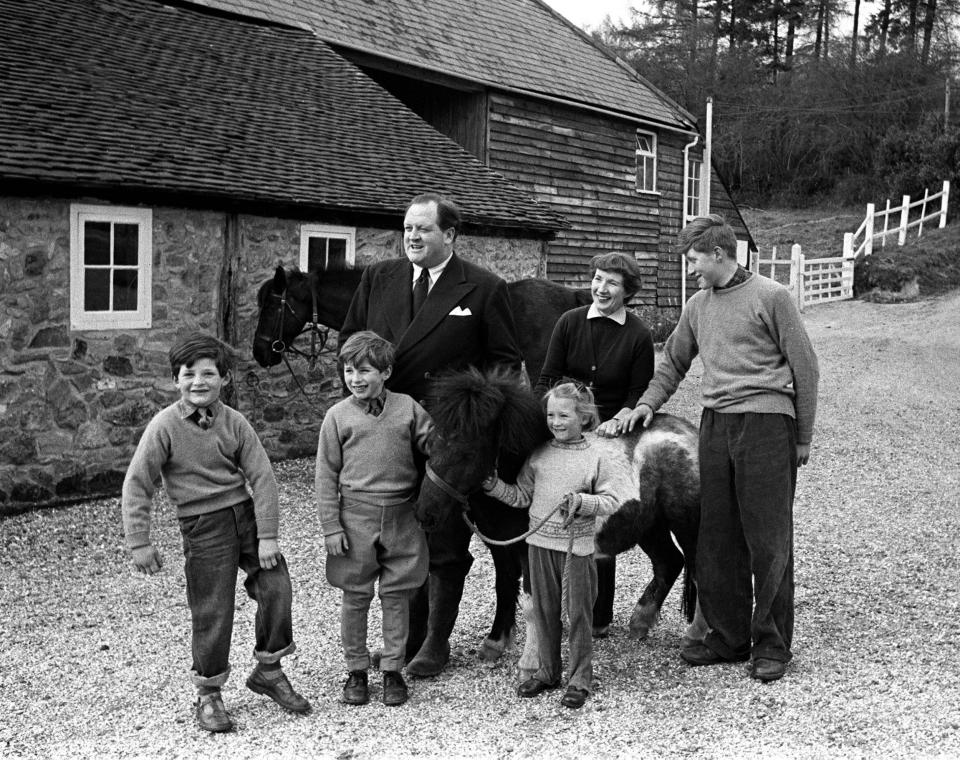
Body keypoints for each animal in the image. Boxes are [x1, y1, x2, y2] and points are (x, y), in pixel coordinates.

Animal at [416, 370, 700, 672]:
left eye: (466, 453)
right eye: (431, 444)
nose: (424, 514)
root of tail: (690, 433)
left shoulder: (527, 550)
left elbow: (531, 603)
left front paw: (530, 662)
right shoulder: (502, 549)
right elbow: (504, 587)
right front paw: (495, 643)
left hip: (686, 524)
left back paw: (696, 641)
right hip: (649, 526)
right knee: (669, 562)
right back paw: (640, 623)